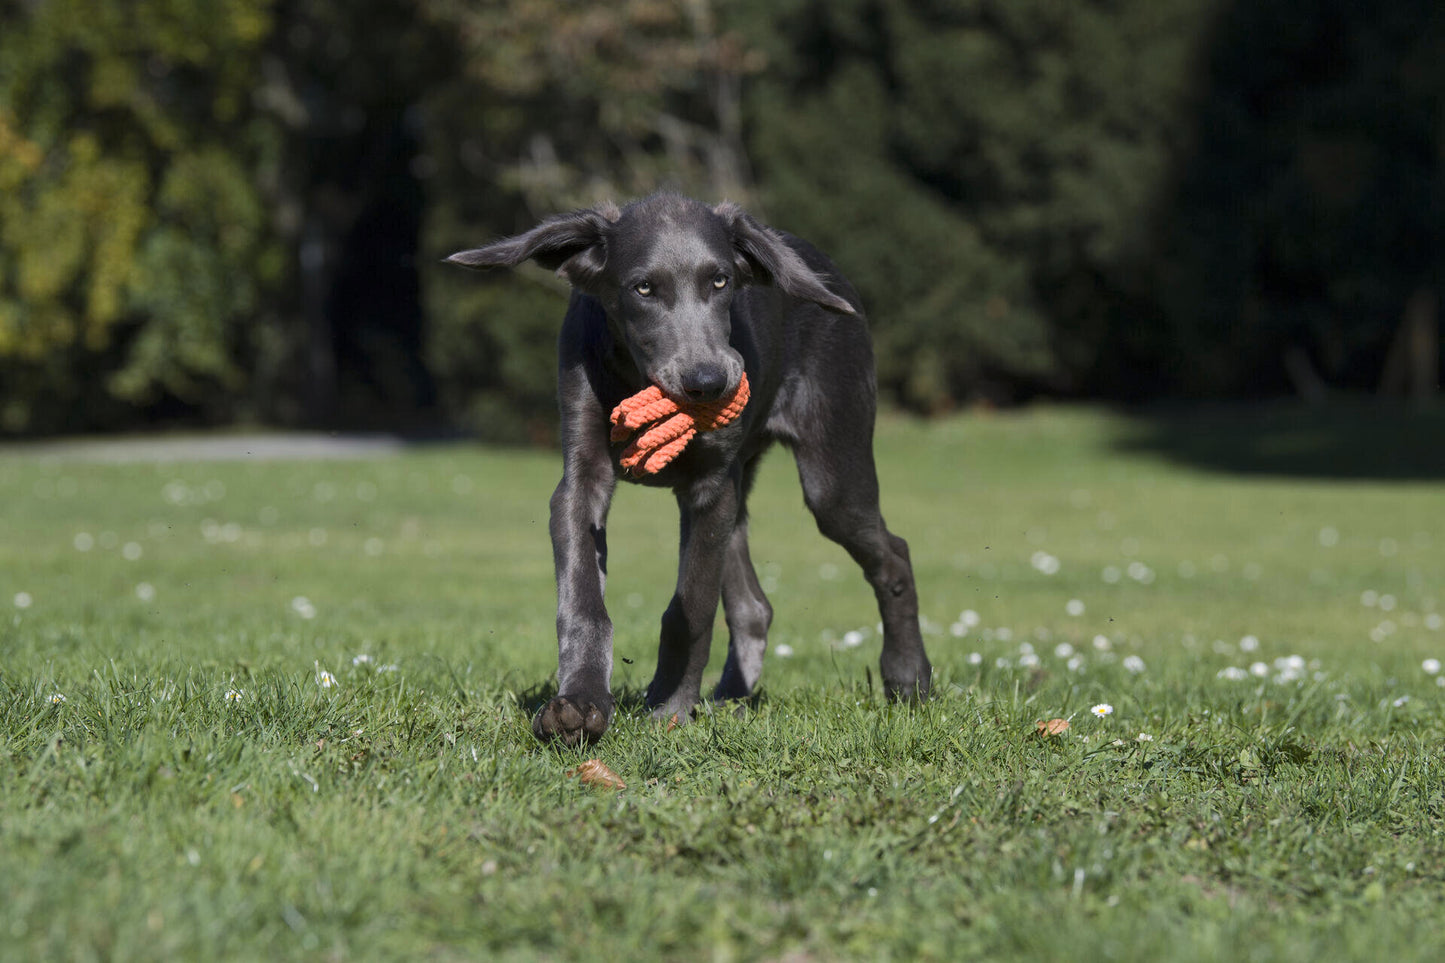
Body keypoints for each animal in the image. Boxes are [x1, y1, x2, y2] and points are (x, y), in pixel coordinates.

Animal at [445, 189, 930, 740]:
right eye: (644, 288)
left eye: (720, 281)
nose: (709, 382)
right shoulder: (581, 479)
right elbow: (583, 598)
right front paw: (578, 704)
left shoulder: (710, 486)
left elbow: (692, 606)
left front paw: (672, 708)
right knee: (753, 606)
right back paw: (730, 699)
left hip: (833, 471)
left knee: (892, 553)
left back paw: (908, 679)